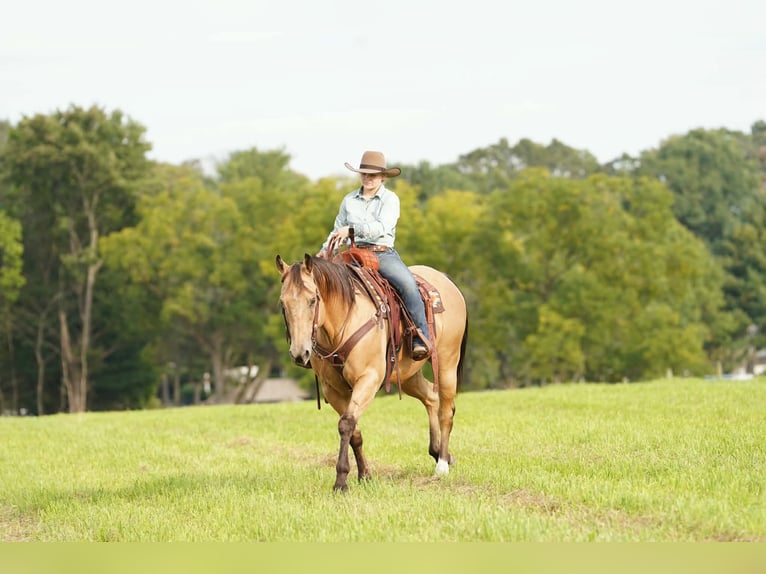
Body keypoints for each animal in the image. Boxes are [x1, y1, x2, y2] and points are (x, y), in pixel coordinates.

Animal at [275, 253, 468, 492]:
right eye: (283, 303)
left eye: (312, 300)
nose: (299, 353)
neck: (343, 323)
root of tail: (446, 281)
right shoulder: (333, 390)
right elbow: (354, 431)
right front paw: (364, 475)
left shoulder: (368, 379)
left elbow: (346, 424)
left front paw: (341, 481)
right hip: (409, 375)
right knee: (431, 398)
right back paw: (440, 453)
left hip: (447, 362)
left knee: (445, 411)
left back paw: (442, 464)